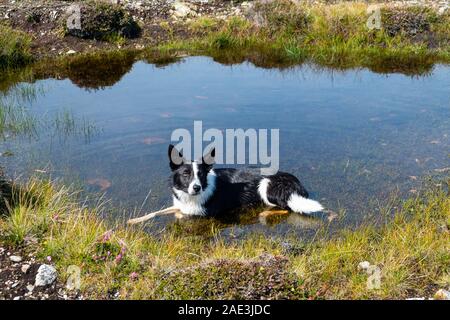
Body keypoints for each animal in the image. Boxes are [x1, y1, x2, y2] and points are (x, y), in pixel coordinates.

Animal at [170, 146, 324, 218]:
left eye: (200, 174)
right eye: (185, 174)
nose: (196, 188)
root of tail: (297, 183)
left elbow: (181, 213)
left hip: (266, 186)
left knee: (286, 208)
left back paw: (264, 214)